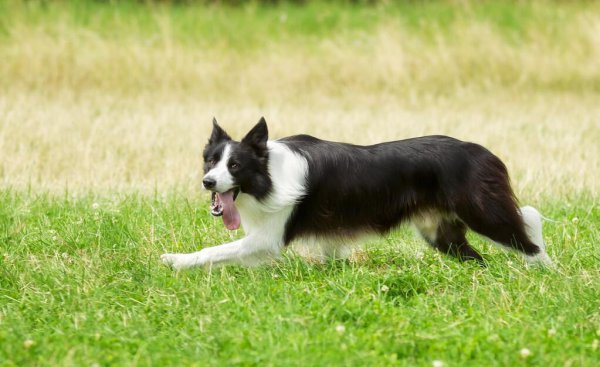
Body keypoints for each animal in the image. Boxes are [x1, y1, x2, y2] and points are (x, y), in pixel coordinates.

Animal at [161, 118, 552, 270]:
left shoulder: (268, 238)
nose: (208, 183)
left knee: (528, 237)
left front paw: (176, 260)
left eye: (236, 165)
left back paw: (546, 272)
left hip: (484, 212)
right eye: (211, 161)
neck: (267, 173)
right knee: (482, 256)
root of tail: (485, 153)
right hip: (441, 233)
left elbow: (214, 250)